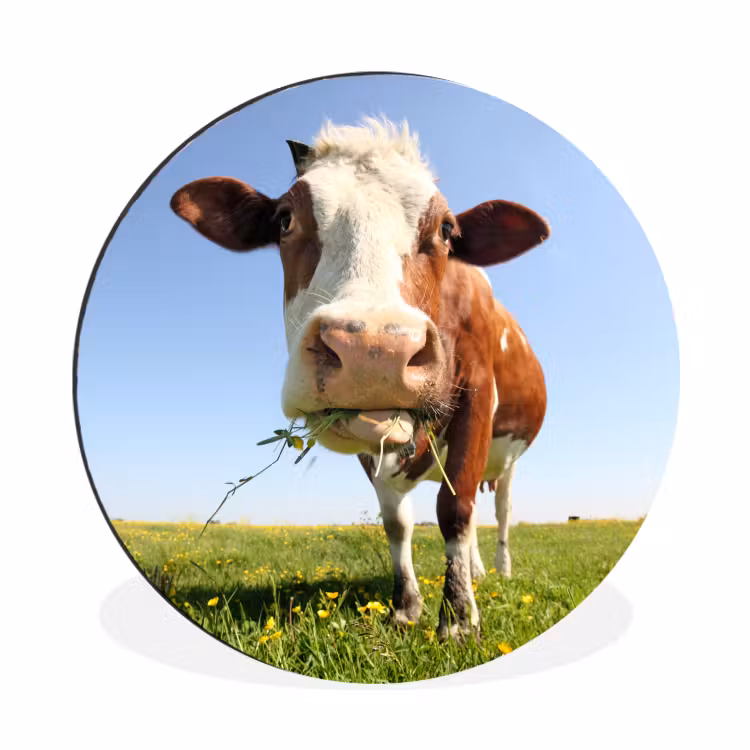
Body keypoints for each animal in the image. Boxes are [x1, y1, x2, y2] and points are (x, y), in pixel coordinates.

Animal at [170, 118, 548, 641]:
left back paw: (498, 571)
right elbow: (397, 522)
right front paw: (407, 607)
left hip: (509, 459)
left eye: (447, 230)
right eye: (284, 219)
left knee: (498, 511)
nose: (374, 350)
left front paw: (457, 620)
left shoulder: (476, 394)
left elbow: (455, 511)